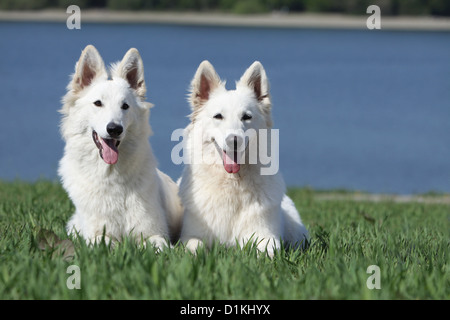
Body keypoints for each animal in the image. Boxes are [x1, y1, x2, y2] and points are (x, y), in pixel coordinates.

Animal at [59, 45, 183, 250]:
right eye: (98, 103)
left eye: (125, 106)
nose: (115, 129)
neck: (112, 177)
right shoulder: (96, 236)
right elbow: (109, 244)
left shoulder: (154, 233)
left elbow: (158, 246)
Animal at [179, 59, 310, 255]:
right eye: (218, 116)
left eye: (246, 117)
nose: (234, 141)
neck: (232, 183)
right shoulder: (191, 235)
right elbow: (195, 246)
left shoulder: (265, 235)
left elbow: (266, 251)